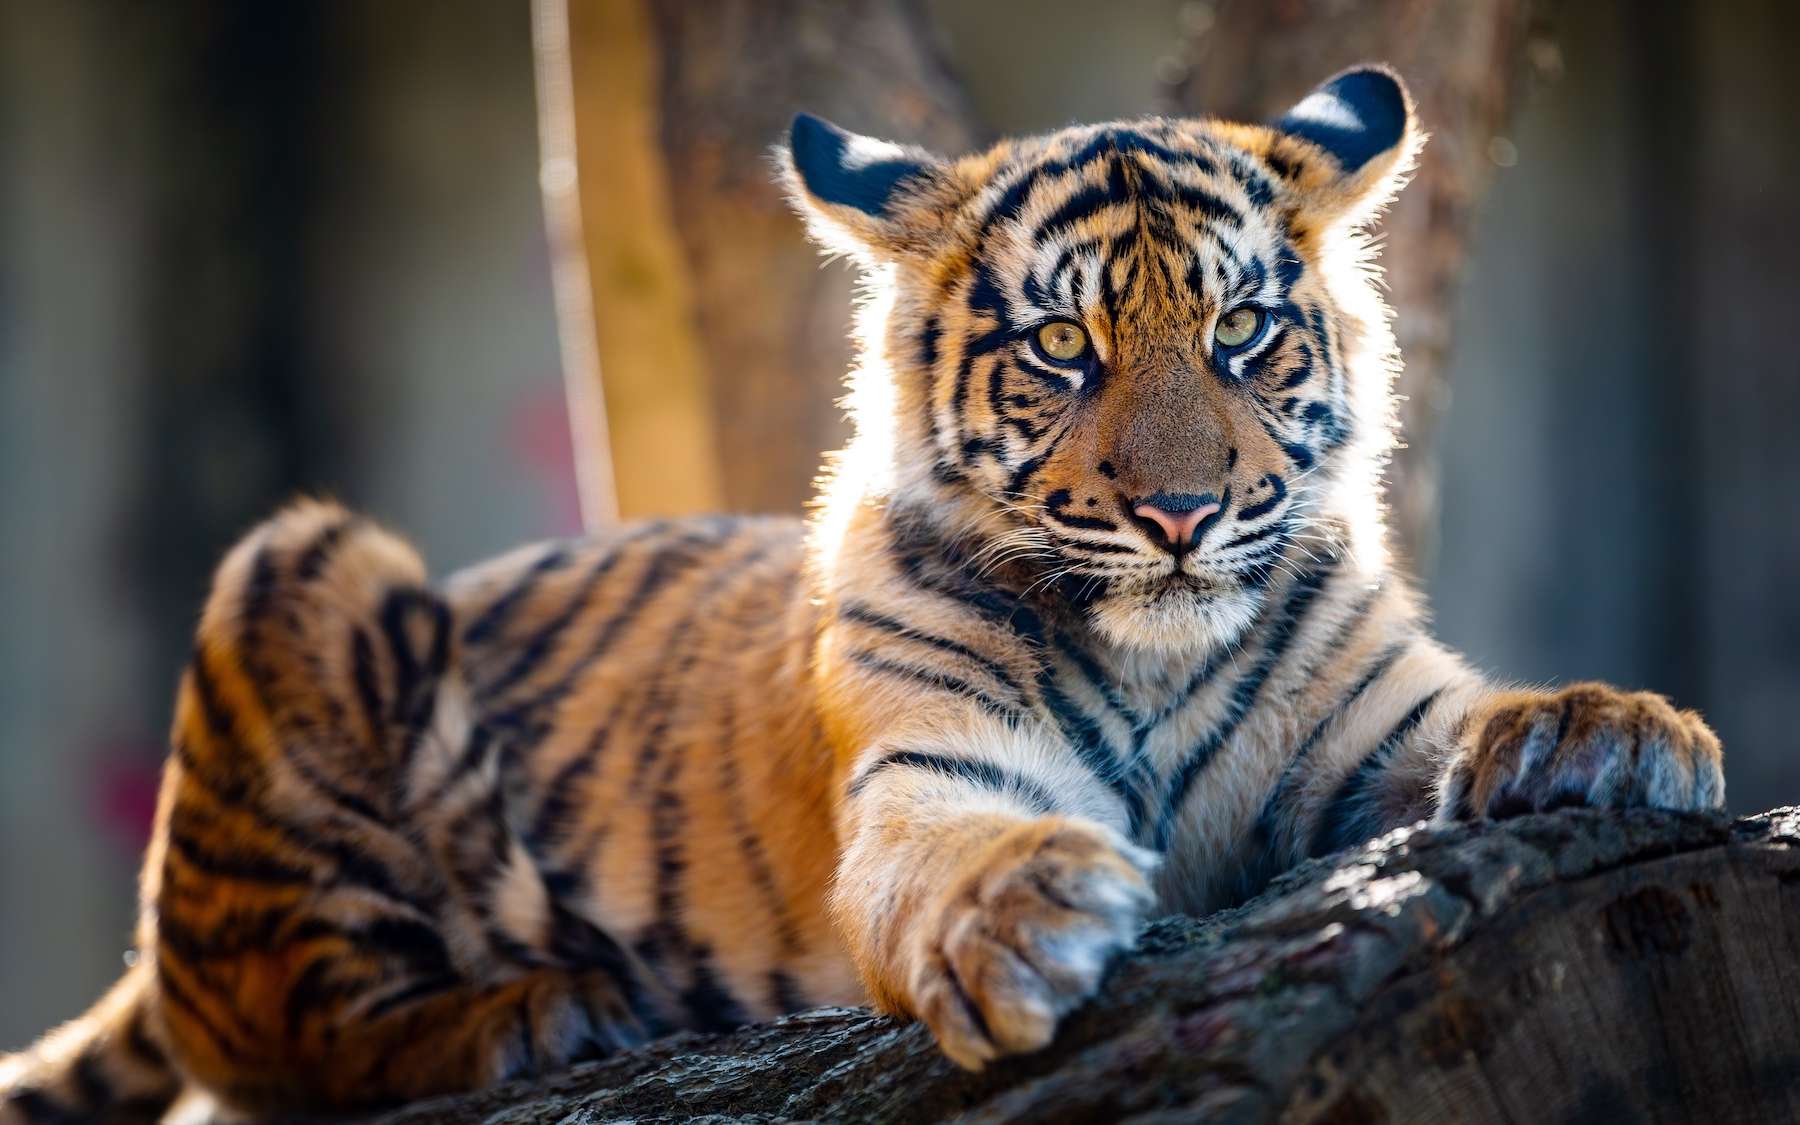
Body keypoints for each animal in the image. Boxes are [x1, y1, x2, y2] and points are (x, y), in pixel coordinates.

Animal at [1, 65, 1724, 1122]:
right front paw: (1026, 910)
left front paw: (1617, 730)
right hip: (307, 568)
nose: (1180, 512)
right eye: (1062, 348)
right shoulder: (928, 774)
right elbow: (958, 852)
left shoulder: (1375, 727)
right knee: (278, 1040)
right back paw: (538, 1014)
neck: (1159, 649)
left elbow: (1477, 721)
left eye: (1240, 332)